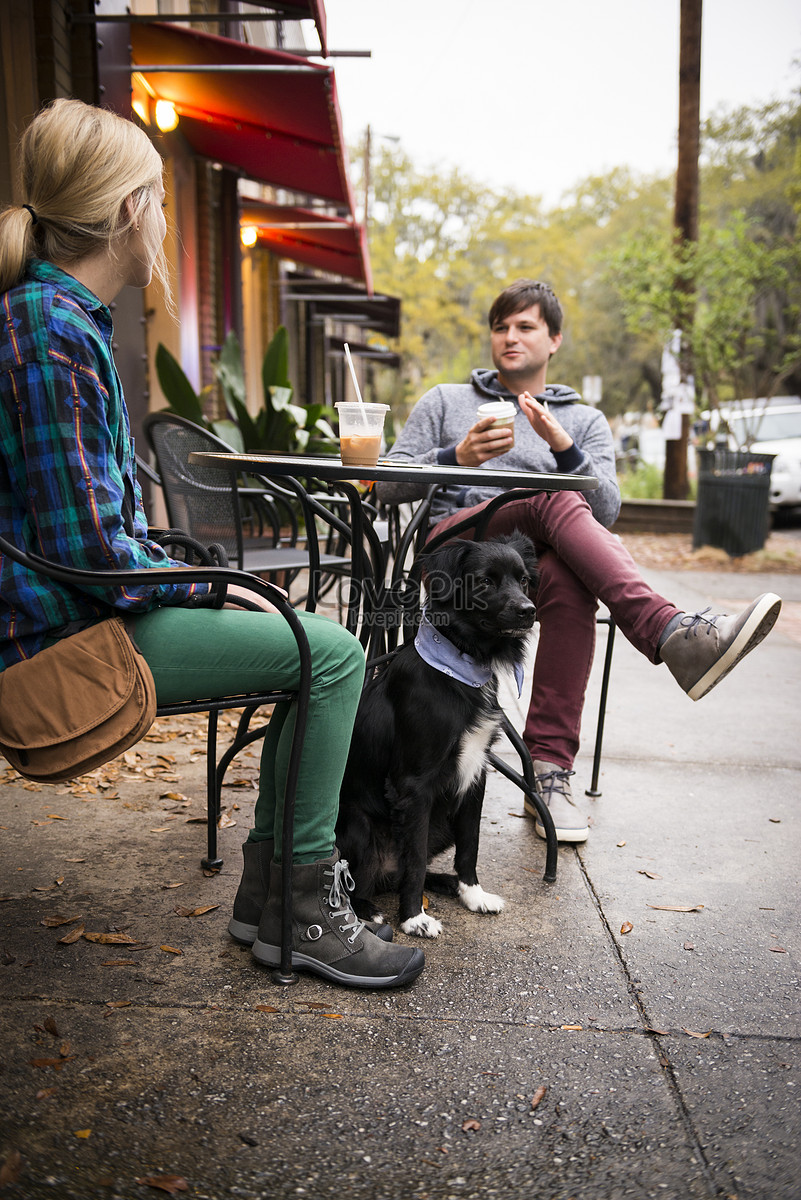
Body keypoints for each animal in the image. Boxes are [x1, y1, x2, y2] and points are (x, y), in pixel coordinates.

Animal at [335, 532, 541, 936]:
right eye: (485, 581)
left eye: (523, 580)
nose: (529, 610)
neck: (463, 667)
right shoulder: (414, 785)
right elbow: (414, 860)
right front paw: (414, 918)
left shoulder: (476, 773)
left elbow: (470, 845)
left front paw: (472, 894)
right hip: (359, 824)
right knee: (357, 878)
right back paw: (368, 909)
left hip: (441, 823)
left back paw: (445, 882)